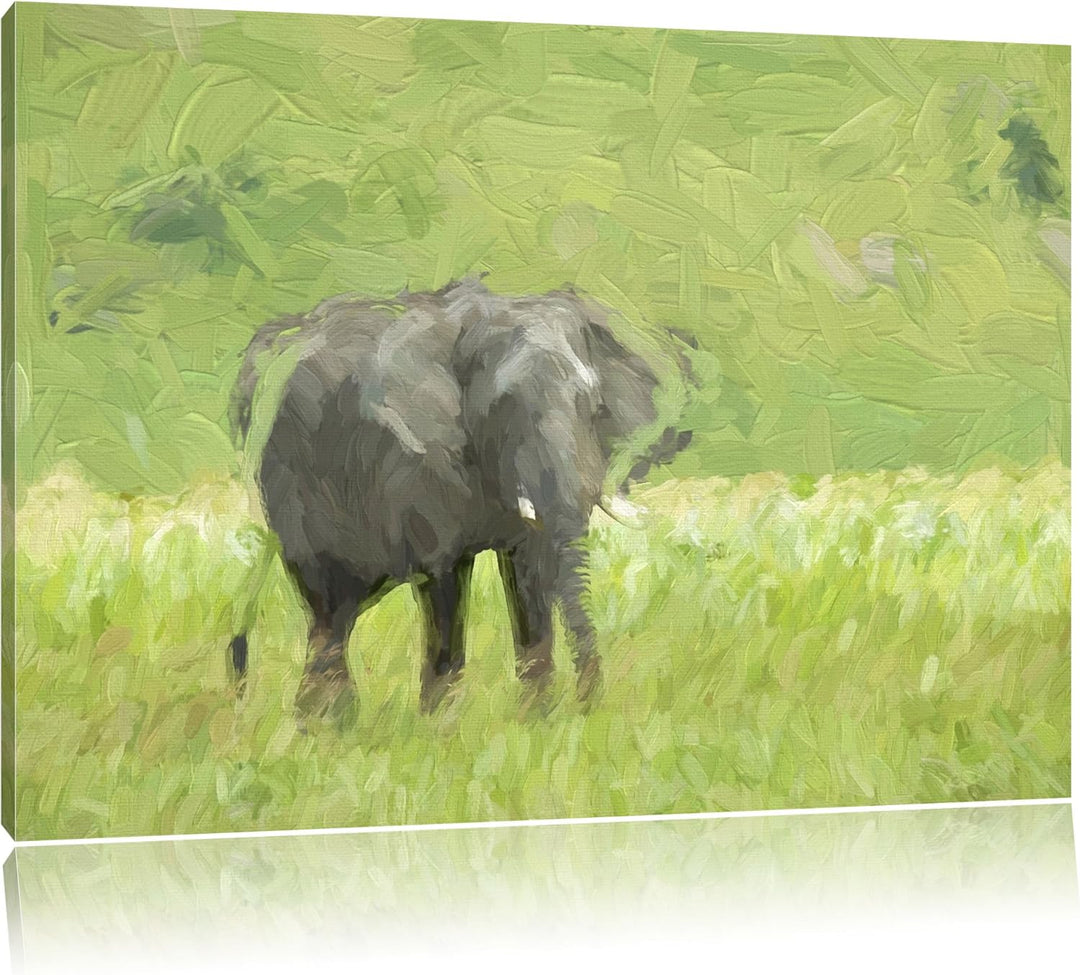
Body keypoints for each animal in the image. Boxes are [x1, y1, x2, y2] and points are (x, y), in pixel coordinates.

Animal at [228, 278, 691, 717]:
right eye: (500, 408)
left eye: (593, 406)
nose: (588, 709)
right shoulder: (417, 466)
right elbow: (444, 576)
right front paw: (438, 730)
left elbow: (529, 577)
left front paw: (536, 723)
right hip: (291, 480)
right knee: (326, 604)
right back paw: (327, 724)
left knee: (340, 610)